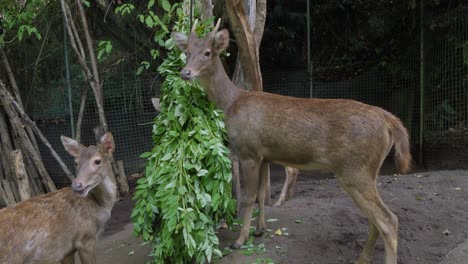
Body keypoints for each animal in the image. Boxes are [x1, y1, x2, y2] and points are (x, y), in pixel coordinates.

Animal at [172, 19, 410, 264]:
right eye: (187, 52)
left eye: (207, 53)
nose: (185, 73)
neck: (231, 104)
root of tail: (388, 120)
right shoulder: (264, 155)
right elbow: (261, 194)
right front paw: (260, 230)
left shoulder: (248, 151)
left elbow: (248, 197)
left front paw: (240, 240)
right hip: (367, 170)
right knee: (376, 219)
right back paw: (361, 258)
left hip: (354, 169)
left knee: (388, 220)